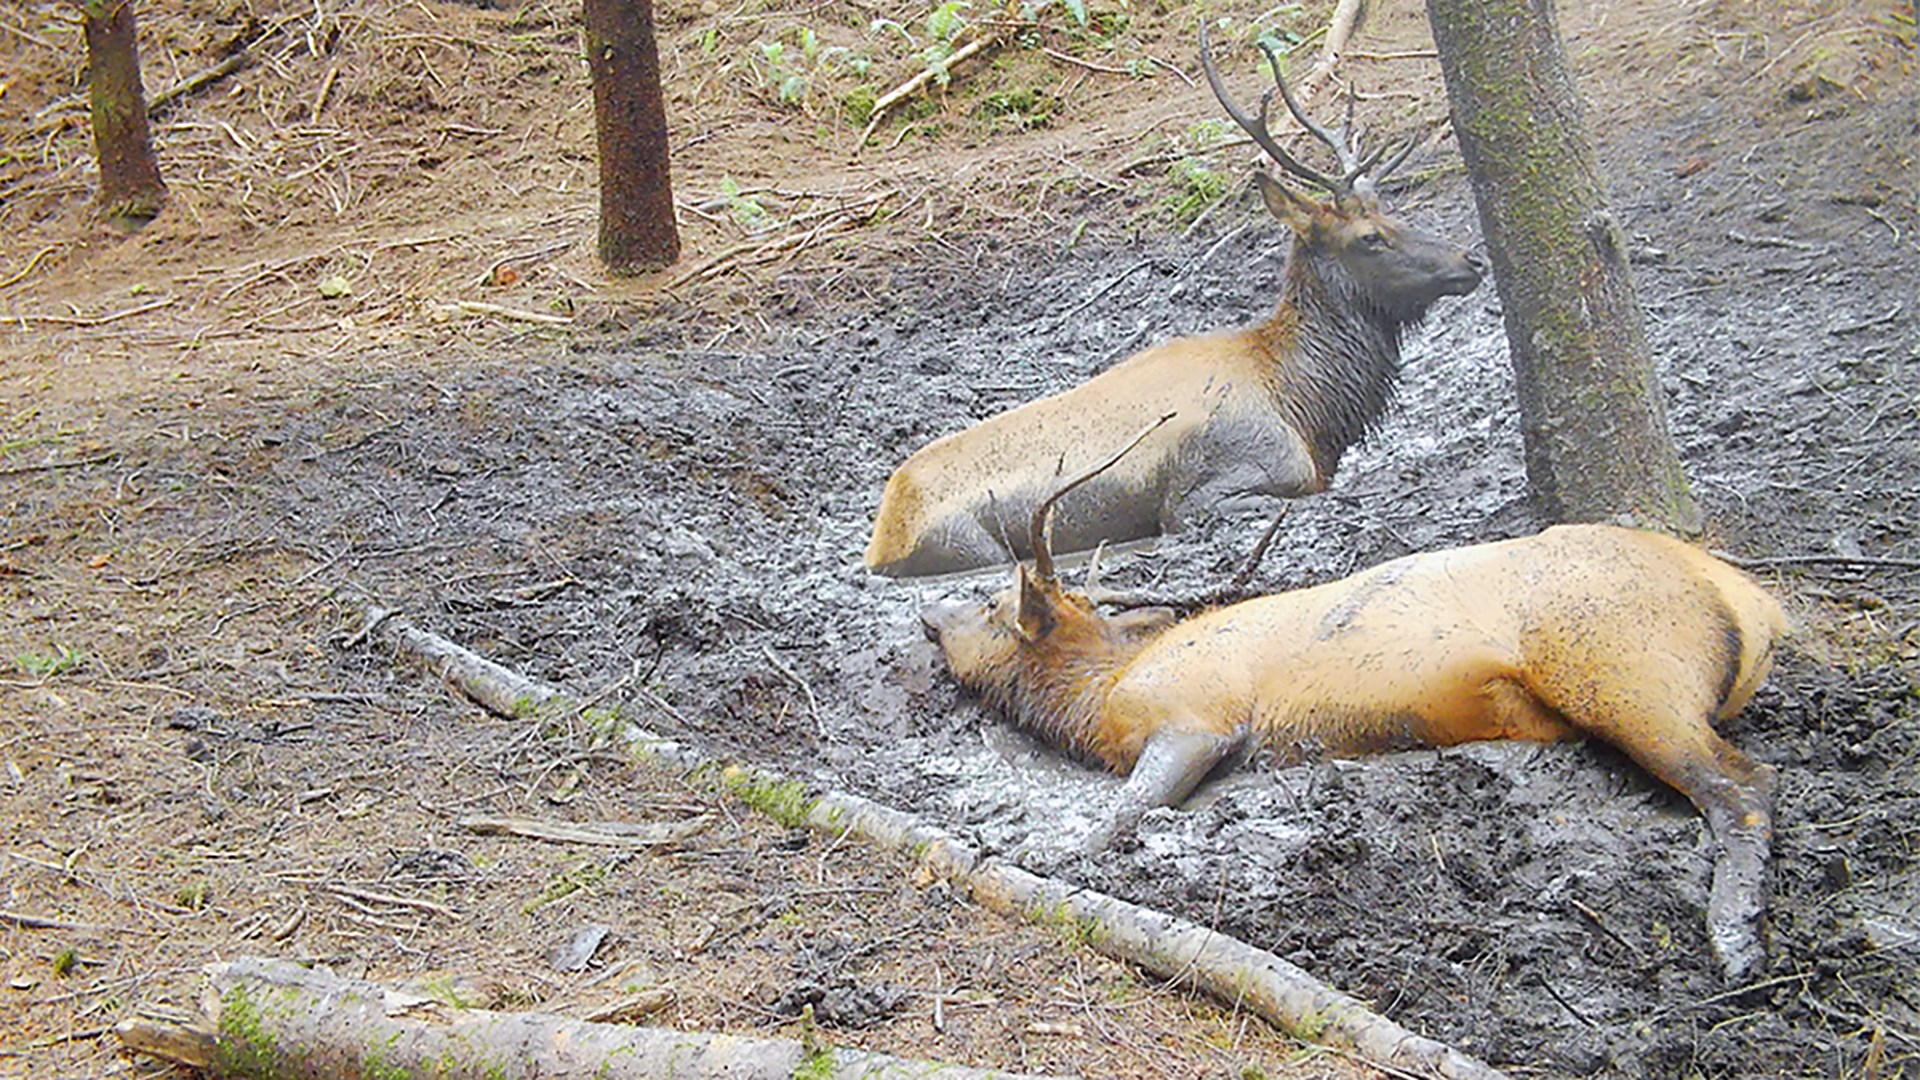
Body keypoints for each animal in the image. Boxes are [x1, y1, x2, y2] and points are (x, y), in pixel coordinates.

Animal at [864, 27, 1486, 578]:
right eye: (1369, 238)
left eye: (1392, 214)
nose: (1471, 260)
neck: (1307, 408)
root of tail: (882, 536)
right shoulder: (1208, 491)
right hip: (967, 544)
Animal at [919, 430, 1790, 981]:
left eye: (993, 606)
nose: (928, 615)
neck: (1096, 701)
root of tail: (1756, 609)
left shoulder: (1198, 716)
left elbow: (1127, 810)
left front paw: (1044, 852)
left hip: (1625, 669)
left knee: (1743, 785)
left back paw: (1734, 939)